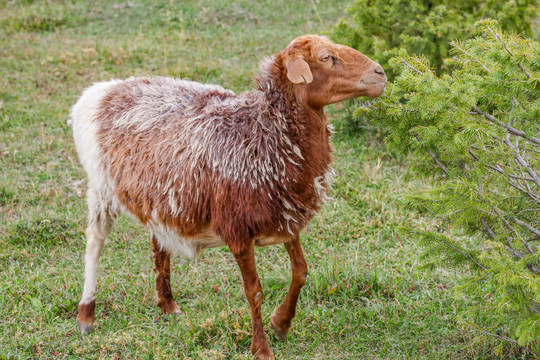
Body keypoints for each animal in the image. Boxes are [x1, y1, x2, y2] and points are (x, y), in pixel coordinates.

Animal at [69, 34, 386, 360]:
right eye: (325, 57)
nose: (381, 74)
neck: (264, 134)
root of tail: (100, 90)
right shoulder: (238, 231)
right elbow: (254, 291)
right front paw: (262, 348)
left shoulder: (287, 219)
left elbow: (301, 272)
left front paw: (281, 323)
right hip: (101, 187)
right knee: (94, 243)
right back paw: (86, 315)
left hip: (161, 195)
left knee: (158, 240)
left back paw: (167, 303)